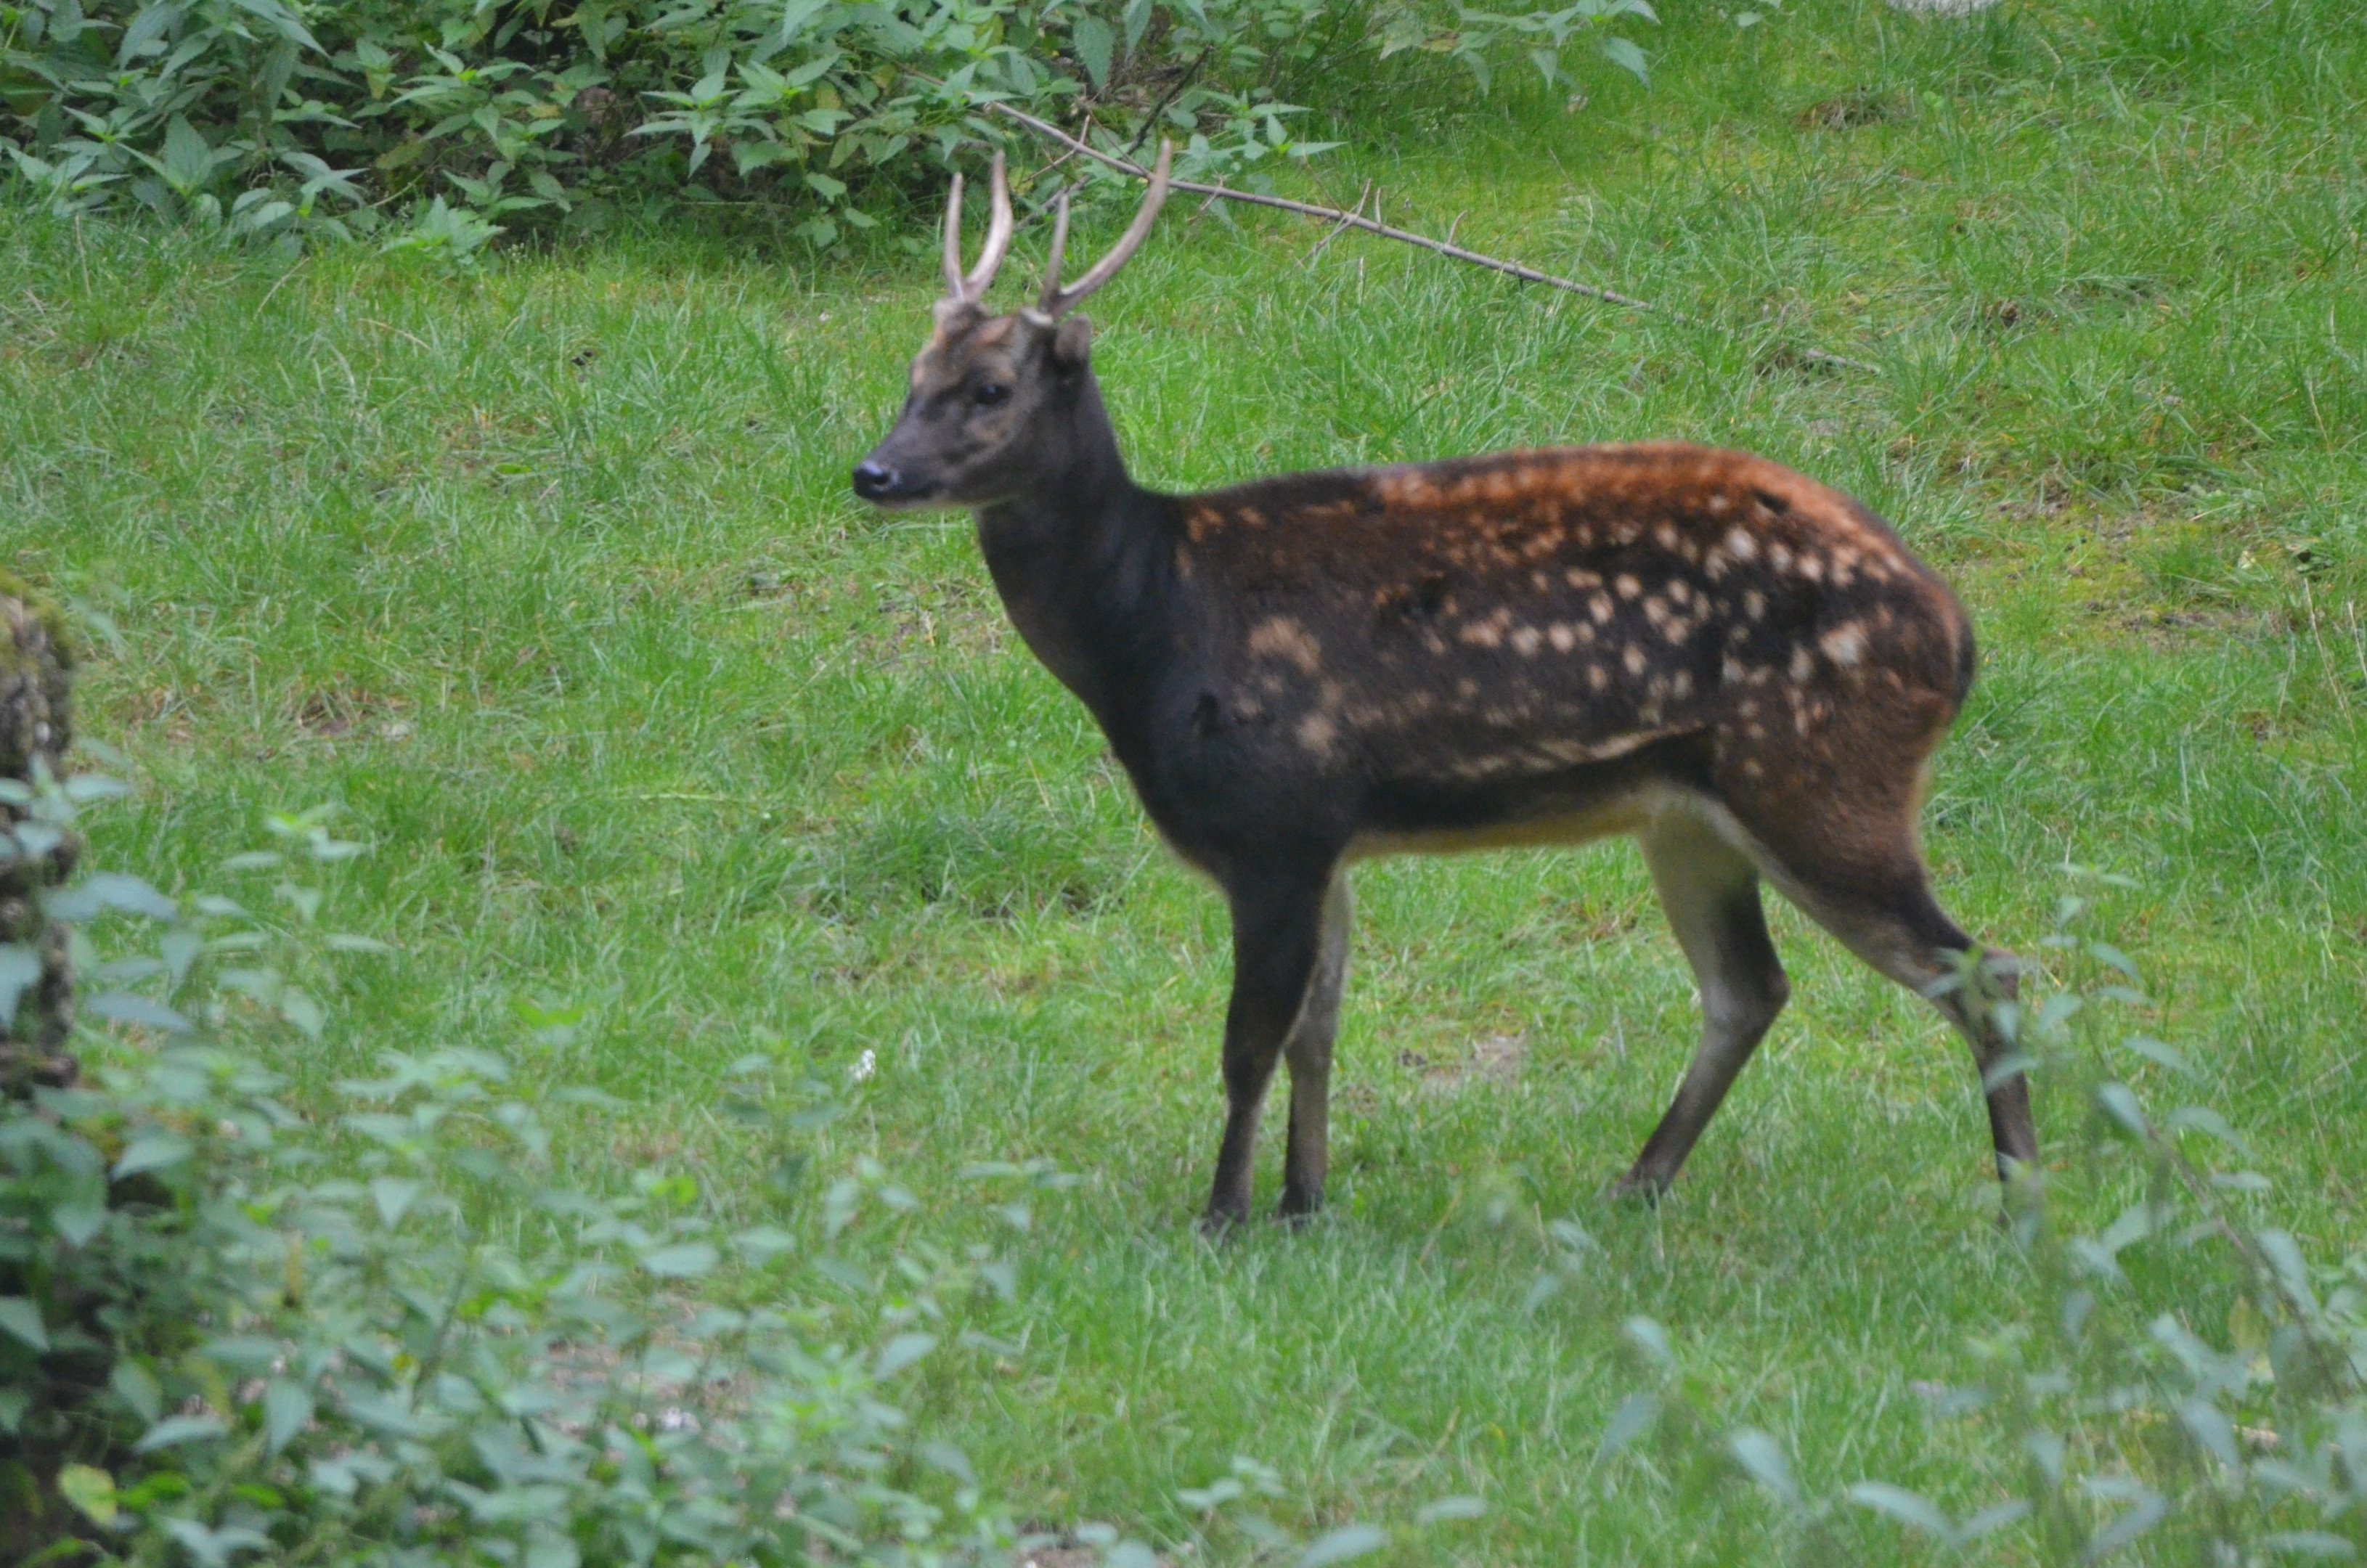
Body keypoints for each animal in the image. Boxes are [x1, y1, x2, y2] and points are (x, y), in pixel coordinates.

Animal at [852, 145, 2037, 1229]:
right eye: (909, 378)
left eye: (989, 389)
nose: (872, 472)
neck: (1156, 622)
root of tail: (1955, 636)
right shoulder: (1326, 840)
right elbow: (1318, 1031)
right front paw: (1305, 1204)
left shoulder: (1274, 821)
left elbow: (1248, 1044)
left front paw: (1222, 1219)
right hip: (1689, 814)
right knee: (1750, 990)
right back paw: (1634, 1184)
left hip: (1821, 781)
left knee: (1984, 972)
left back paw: (2020, 1204)